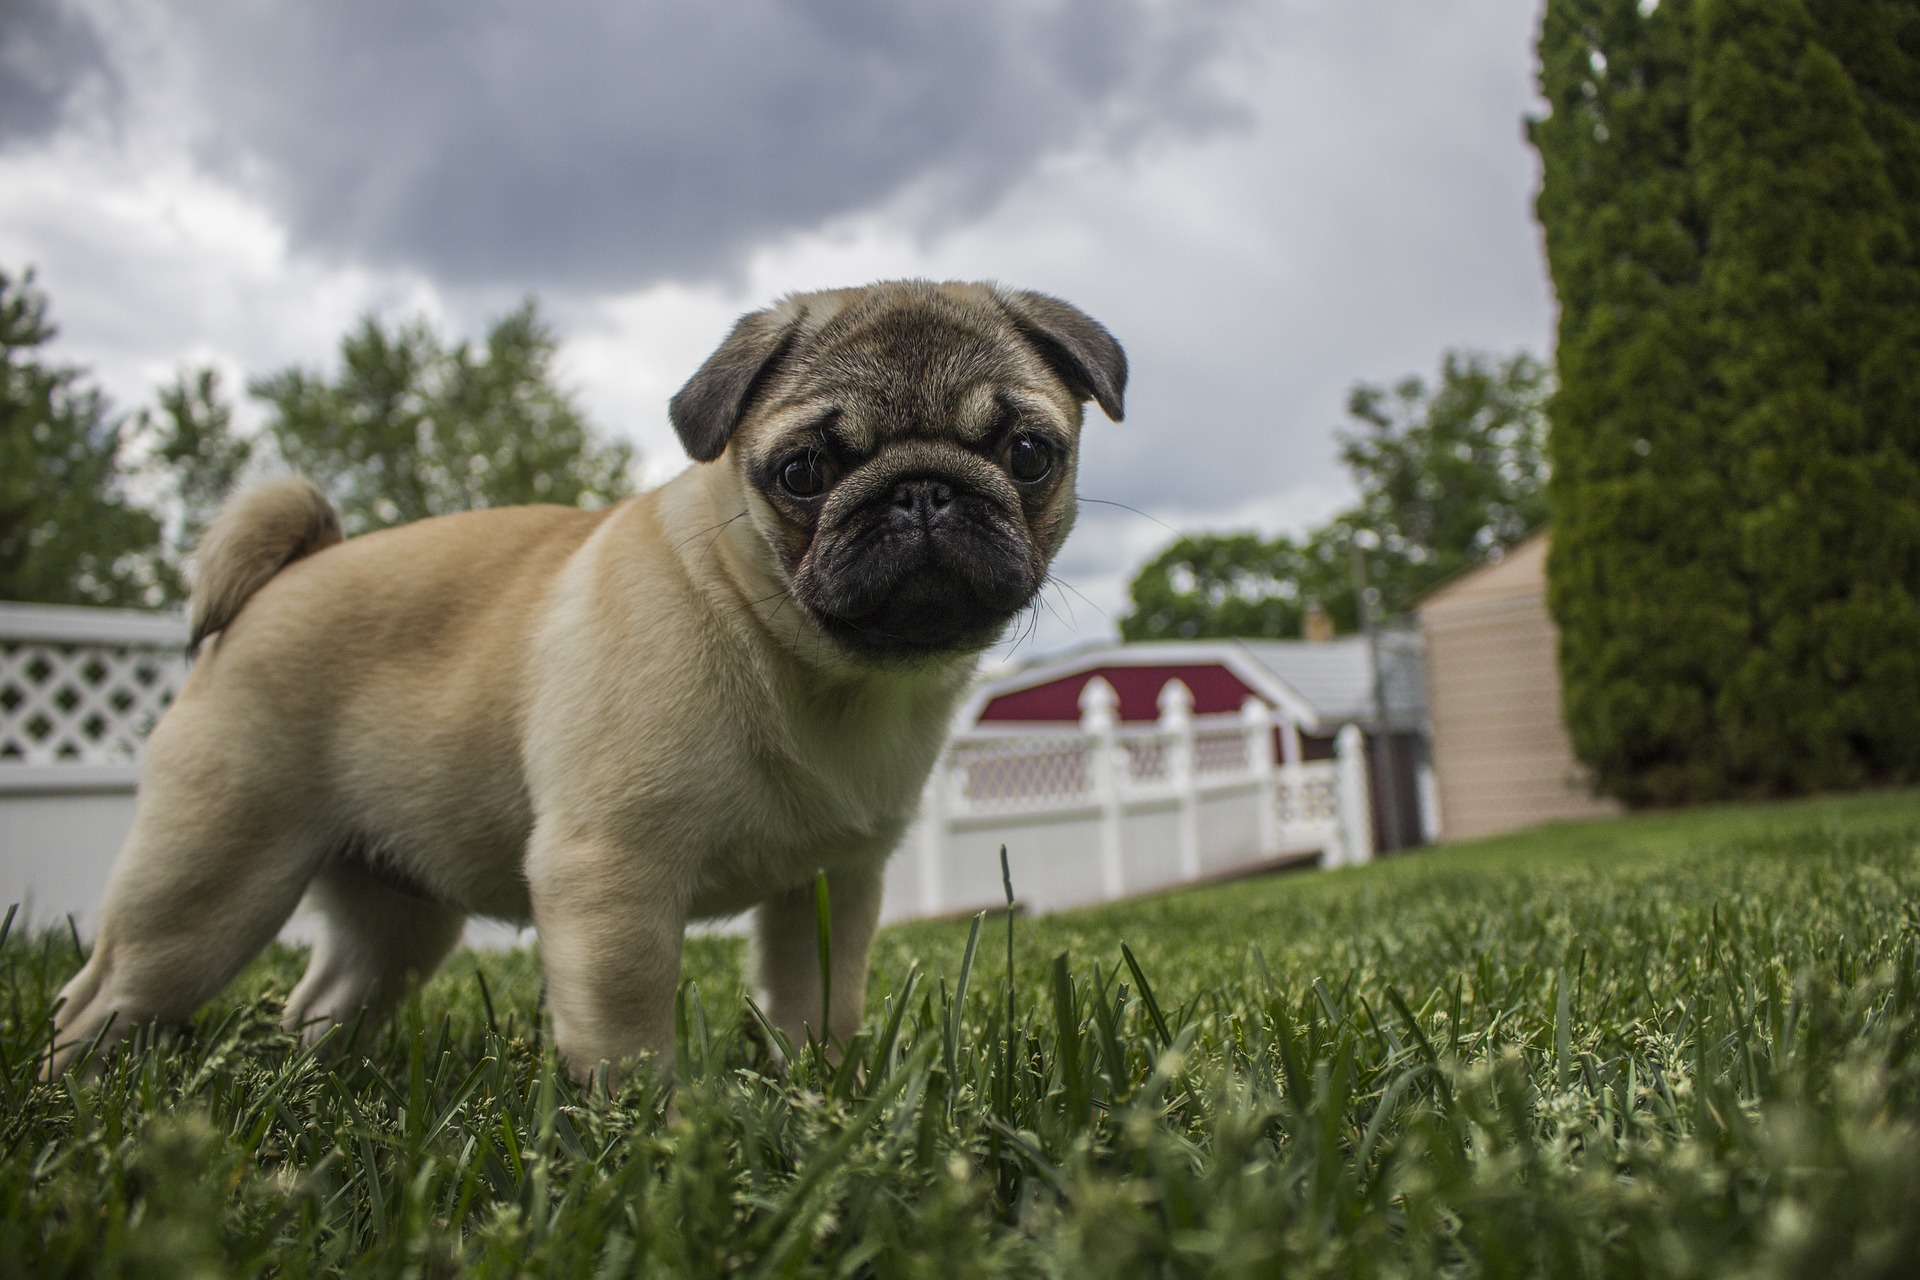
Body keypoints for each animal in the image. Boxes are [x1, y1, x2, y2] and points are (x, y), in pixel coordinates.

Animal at [52, 280, 1121, 1082]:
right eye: (804, 472)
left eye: (1030, 454)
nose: (922, 492)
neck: (812, 667)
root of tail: (287, 574)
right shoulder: (614, 876)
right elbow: (627, 1026)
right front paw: (644, 1131)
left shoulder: (831, 885)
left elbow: (818, 1001)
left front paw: (819, 1093)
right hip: (208, 883)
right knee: (103, 996)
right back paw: (81, 1095)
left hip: (397, 916)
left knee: (325, 996)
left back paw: (315, 1080)